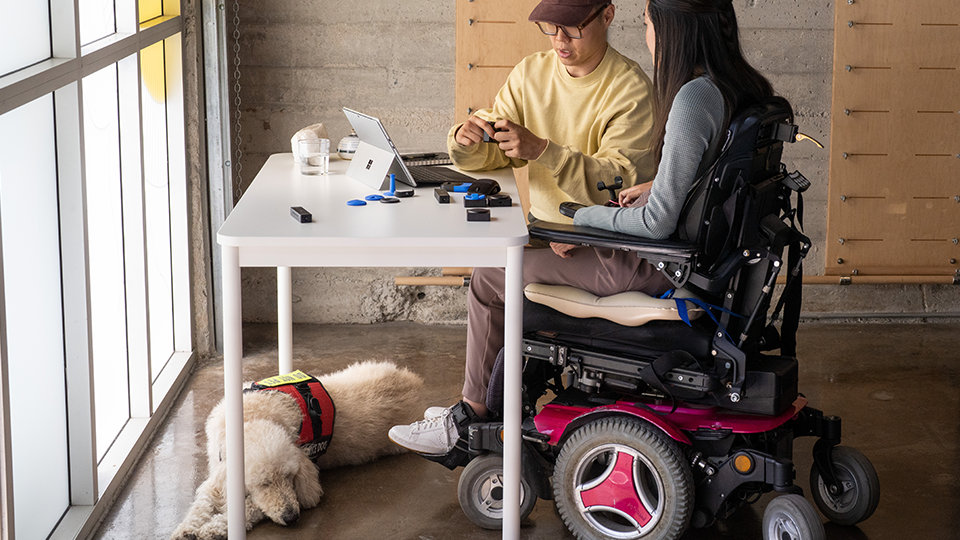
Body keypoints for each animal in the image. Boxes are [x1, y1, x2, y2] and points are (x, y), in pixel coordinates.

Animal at [172, 360, 424, 536]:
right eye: (263, 483)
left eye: (290, 477)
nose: (291, 517)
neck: (251, 417)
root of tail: (415, 384)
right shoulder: (217, 473)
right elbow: (202, 503)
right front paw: (188, 528)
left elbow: (250, 507)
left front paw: (213, 528)